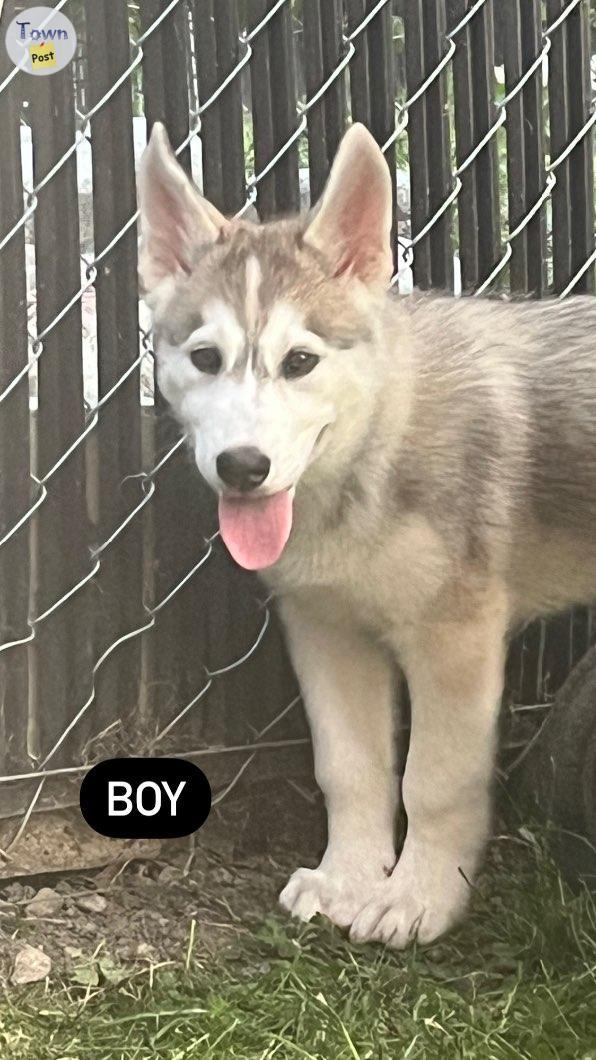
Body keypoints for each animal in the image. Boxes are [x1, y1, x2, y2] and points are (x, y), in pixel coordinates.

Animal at [136, 121, 593, 945]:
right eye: (206, 358)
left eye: (300, 361)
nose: (243, 467)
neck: (371, 455)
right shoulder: (325, 628)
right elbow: (347, 767)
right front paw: (348, 876)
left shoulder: (455, 637)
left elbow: (435, 780)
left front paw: (419, 897)